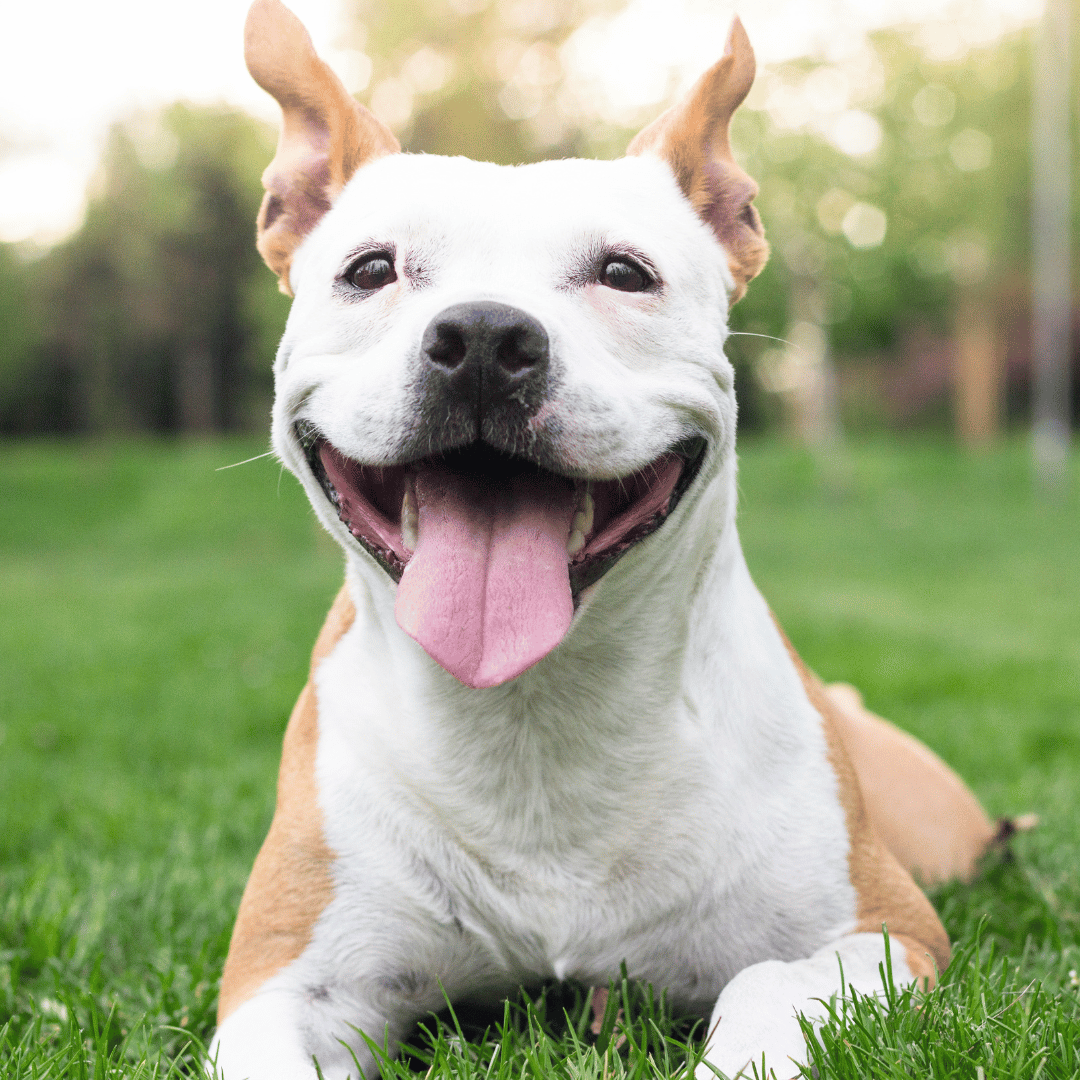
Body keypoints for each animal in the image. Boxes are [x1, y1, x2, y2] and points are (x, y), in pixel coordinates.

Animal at [208, 4, 1002, 1075]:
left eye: (625, 273)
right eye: (369, 269)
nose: (485, 338)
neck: (534, 713)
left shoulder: (879, 933)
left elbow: (762, 990)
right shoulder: (282, 981)